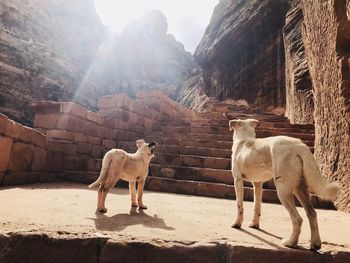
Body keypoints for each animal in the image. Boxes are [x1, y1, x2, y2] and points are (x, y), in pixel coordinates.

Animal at [230, 119, 340, 252]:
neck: (244, 140)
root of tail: (299, 145)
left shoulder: (237, 180)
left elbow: (239, 205)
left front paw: (237, 224)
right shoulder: (258, 184)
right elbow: (257, 206)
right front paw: (254, 224)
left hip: (283, 191)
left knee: (297, 219)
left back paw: (291, 243)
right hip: (300, 189)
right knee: (311, 213)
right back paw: (315, 244)